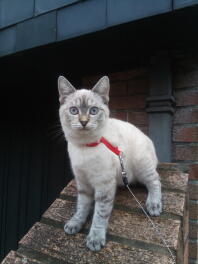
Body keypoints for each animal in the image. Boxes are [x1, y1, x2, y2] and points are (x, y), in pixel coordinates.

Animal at [56, 76, 161, 252]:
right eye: (74, 111)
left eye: (93, 111)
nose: (83, 122)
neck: (85, 147)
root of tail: (147, 138)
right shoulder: (82, 182)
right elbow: (82, 206)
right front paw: (75, 223)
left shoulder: (104, 185)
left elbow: (100, 214)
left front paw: (95, 239)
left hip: (142, 166)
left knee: (155, 181)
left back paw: (154, 205)